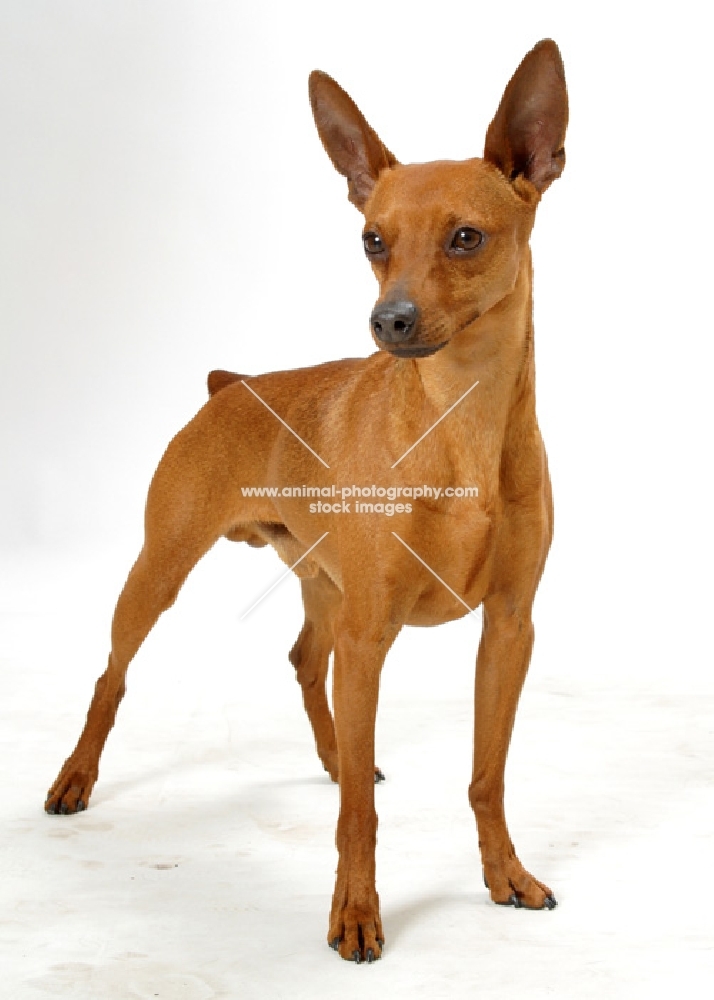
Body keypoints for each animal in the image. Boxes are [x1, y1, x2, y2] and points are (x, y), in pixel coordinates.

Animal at [44, 43, 568, 964]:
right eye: (372, 241)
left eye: (467, 237)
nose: (388, 321)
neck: (460, 425)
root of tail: (232, 387)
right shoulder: (371, 636)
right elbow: (360, 812)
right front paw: (355, 912)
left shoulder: (508, 630)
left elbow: (485, 776)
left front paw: (504, 874)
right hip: (161, 572)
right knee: (112, 674)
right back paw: (76, 778)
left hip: (324, 589)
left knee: (301, 662)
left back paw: (329, 754)